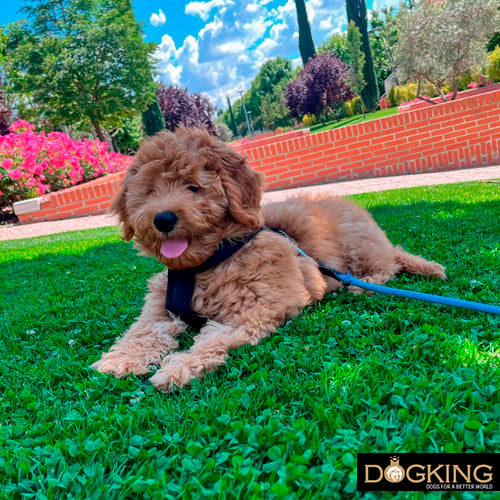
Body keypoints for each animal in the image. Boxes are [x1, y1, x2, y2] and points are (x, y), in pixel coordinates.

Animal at [92, 126, 448, 390]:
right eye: (150, 191)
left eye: (193, 187)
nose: (163, 219)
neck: (204, 264)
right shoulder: (158, 310)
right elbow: (143, 332)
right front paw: (121, 359)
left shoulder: (255, 311)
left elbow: (211, 340)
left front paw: (177, 368)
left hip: (358, 243)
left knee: (387, 267)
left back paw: (364, 284)